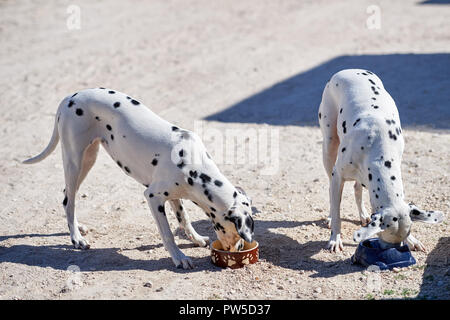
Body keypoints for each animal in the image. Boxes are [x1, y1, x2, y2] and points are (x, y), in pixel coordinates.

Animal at [24, 87, 255, 268]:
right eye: (239, 233)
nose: (239, 248)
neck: (196, 168)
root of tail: (70, 97)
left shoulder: (175, 196)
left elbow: (184, 219)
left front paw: (196, 238)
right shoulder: (153, 197)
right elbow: (168, 233)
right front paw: (179, 258)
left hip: (88, 160)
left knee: (68, 197)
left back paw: (78, 227)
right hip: (75, 161)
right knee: (68, 200)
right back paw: (76, 238)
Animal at [318, 69, 444, 252]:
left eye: (403, 237)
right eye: (386, 237)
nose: (394, 251)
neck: (379, 149)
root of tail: (348, 70)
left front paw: (412, 240)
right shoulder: (338, 176)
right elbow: (337, 212)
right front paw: (335, 238)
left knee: (357, 188)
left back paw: (362, 214)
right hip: (329, 147)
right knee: (330, 191)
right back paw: (329, 217)